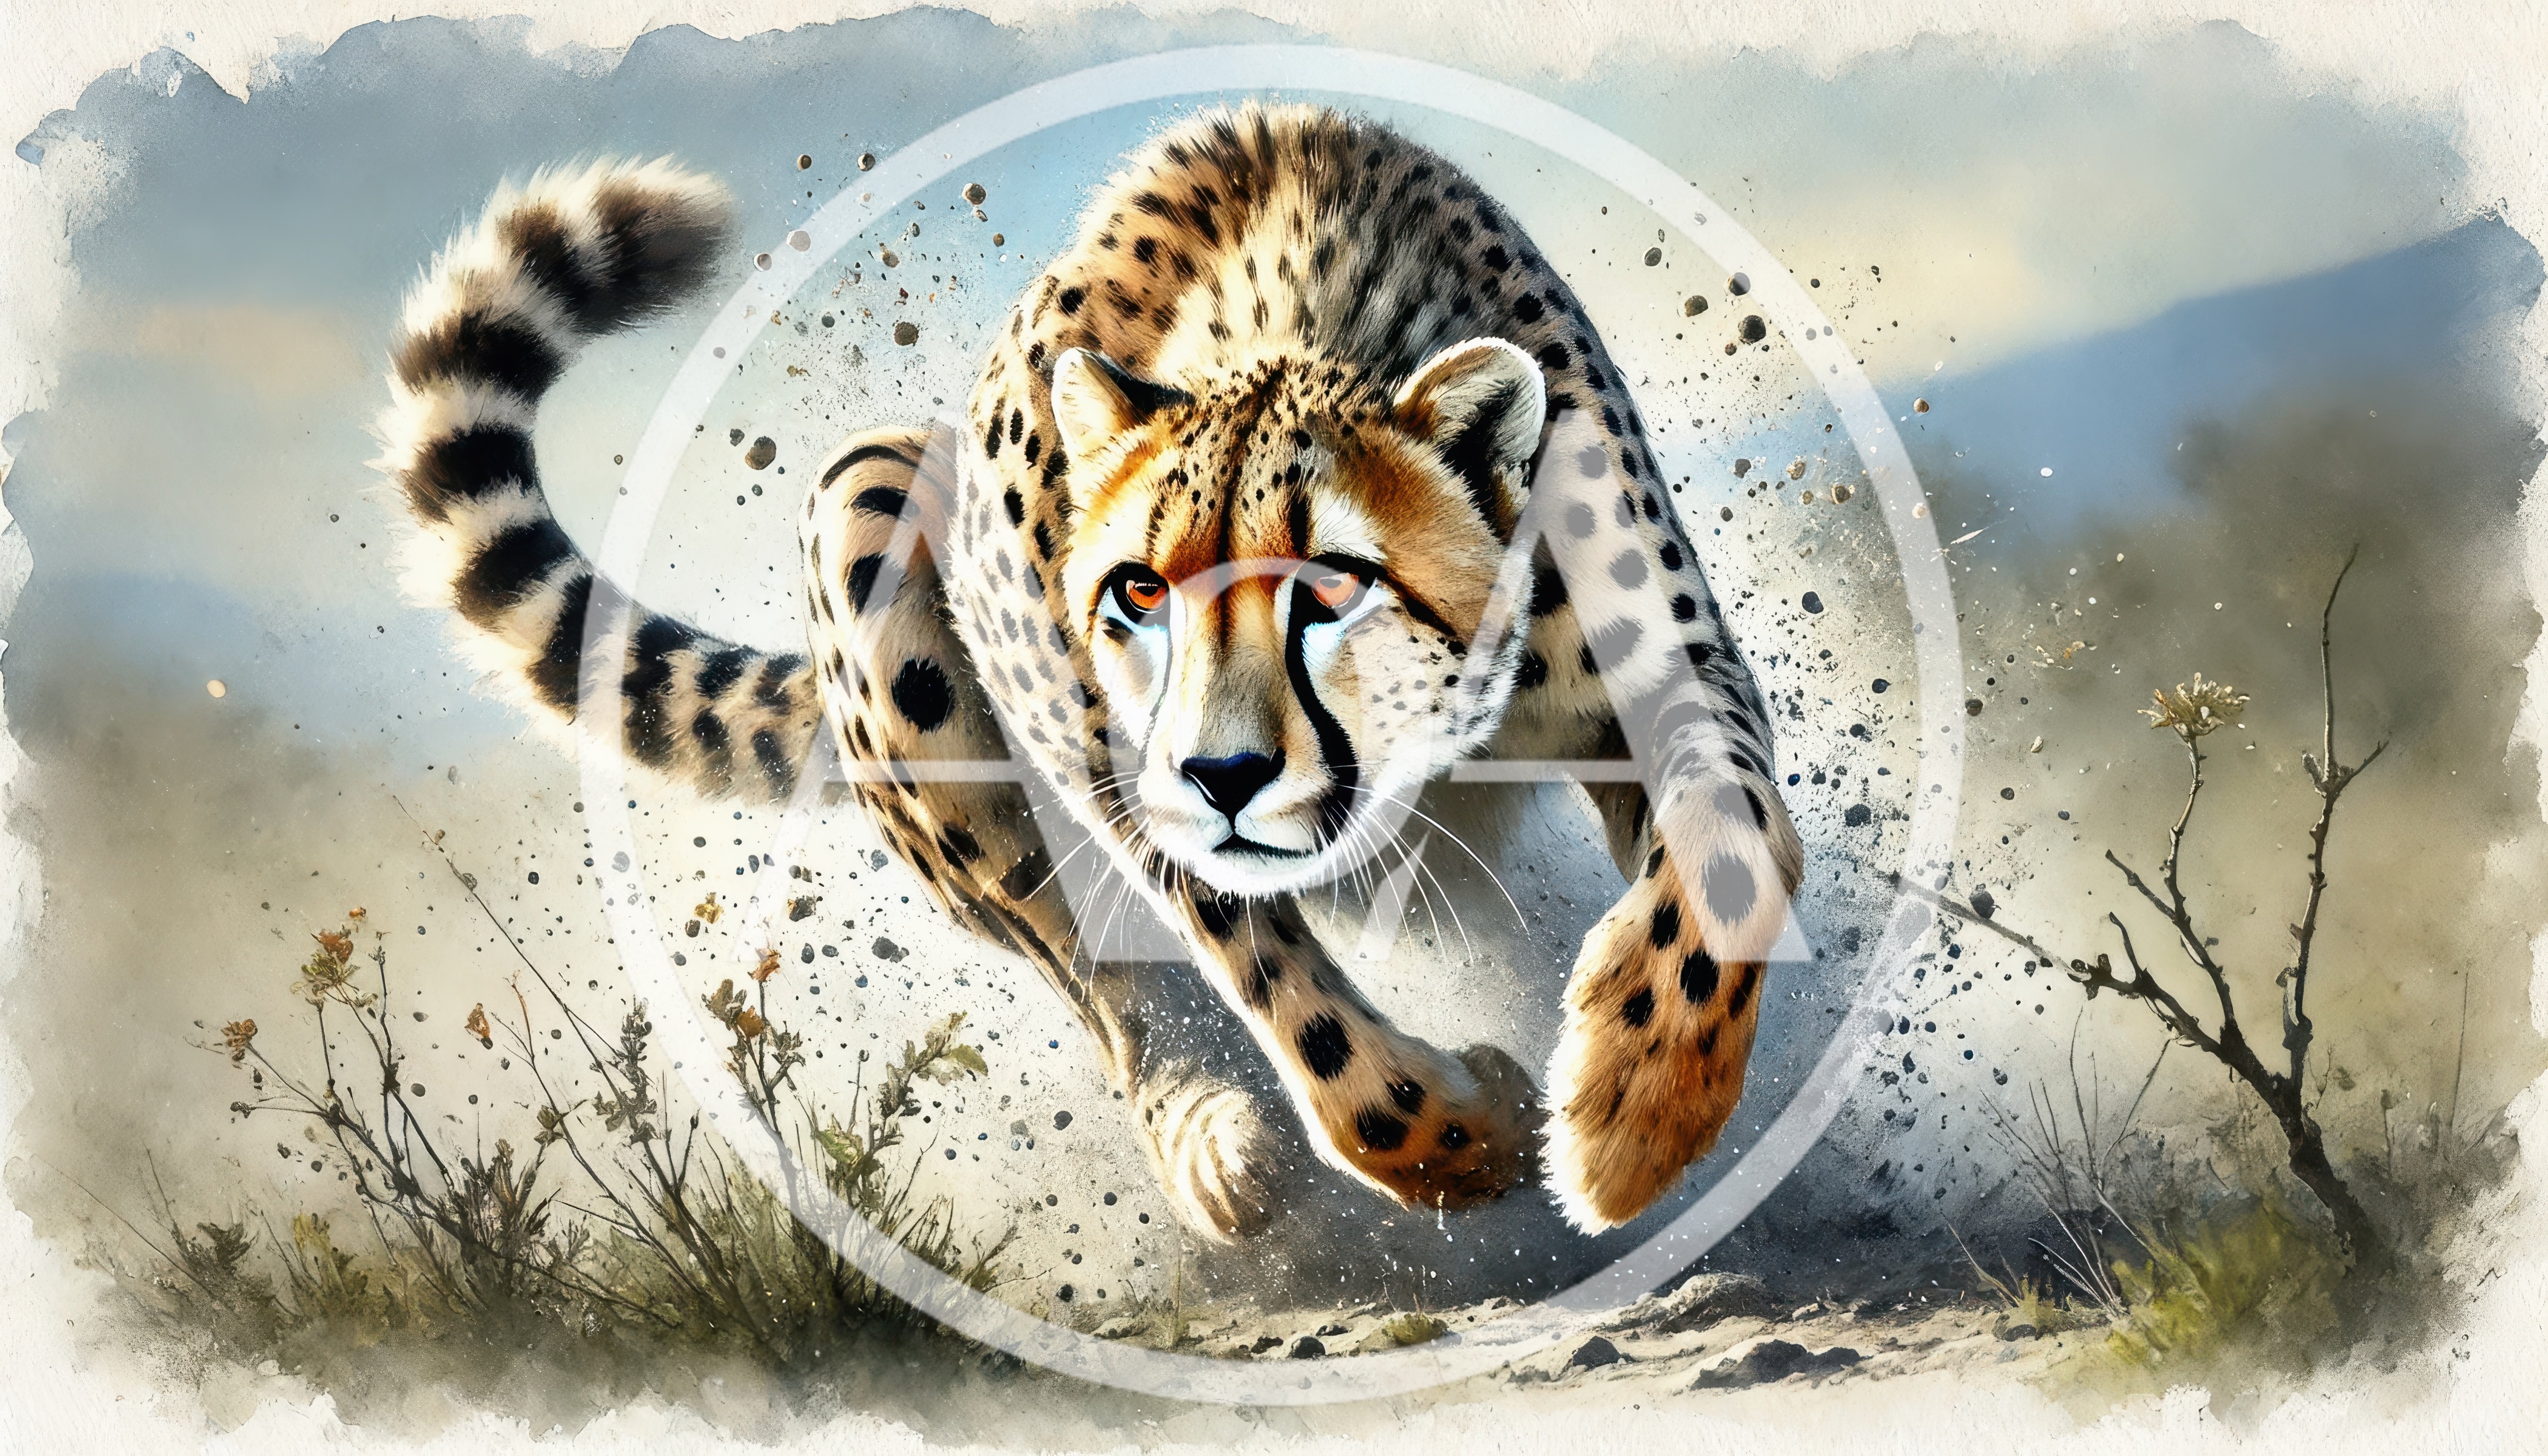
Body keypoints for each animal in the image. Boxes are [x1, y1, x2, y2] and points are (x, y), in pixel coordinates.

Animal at [372, 104, 1803, 1243]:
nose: (1228, 770)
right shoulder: (1130, 786)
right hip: (868, 517)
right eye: (1139, 593)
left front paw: (1632, 1114)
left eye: (1332, 583)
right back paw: (1213, 1142)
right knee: (1107, 996)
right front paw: (1465, 1135)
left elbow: (1732, 857)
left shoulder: (1669, 678)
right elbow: (1290, 1006)